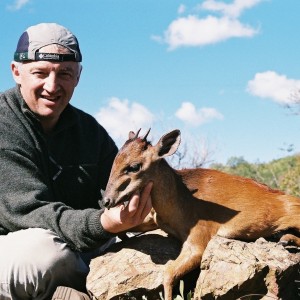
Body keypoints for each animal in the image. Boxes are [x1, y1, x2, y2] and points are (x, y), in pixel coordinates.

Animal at [101, 129, 300, 300]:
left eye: (134, 166)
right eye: (114, 162)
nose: (106, 201)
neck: (181, 204)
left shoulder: (198, 240)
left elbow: (168, 273)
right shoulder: (155, 220)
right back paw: (284, 239)